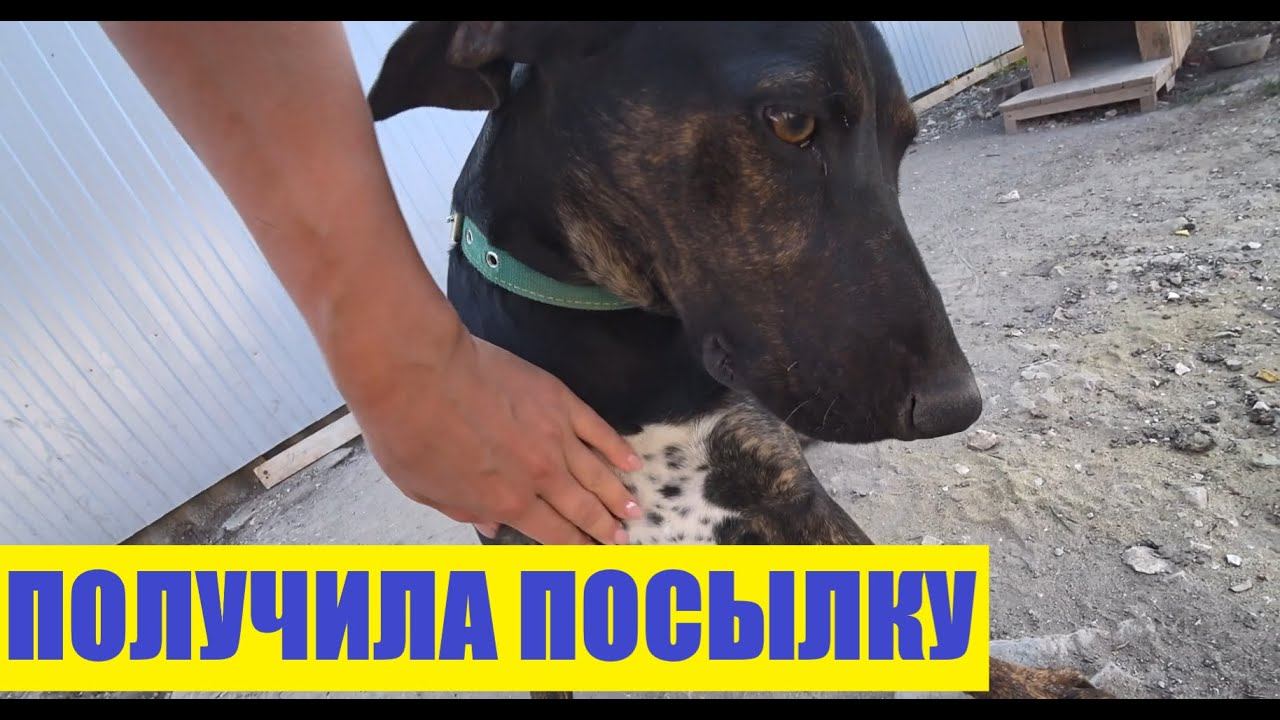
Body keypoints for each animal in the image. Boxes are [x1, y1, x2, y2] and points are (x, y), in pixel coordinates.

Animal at [368, 20, 1109, 699]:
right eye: (790, 121)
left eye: (903, 143)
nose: (959, 406)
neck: (619, 342)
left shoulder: (790, 491)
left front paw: (1037, 683)